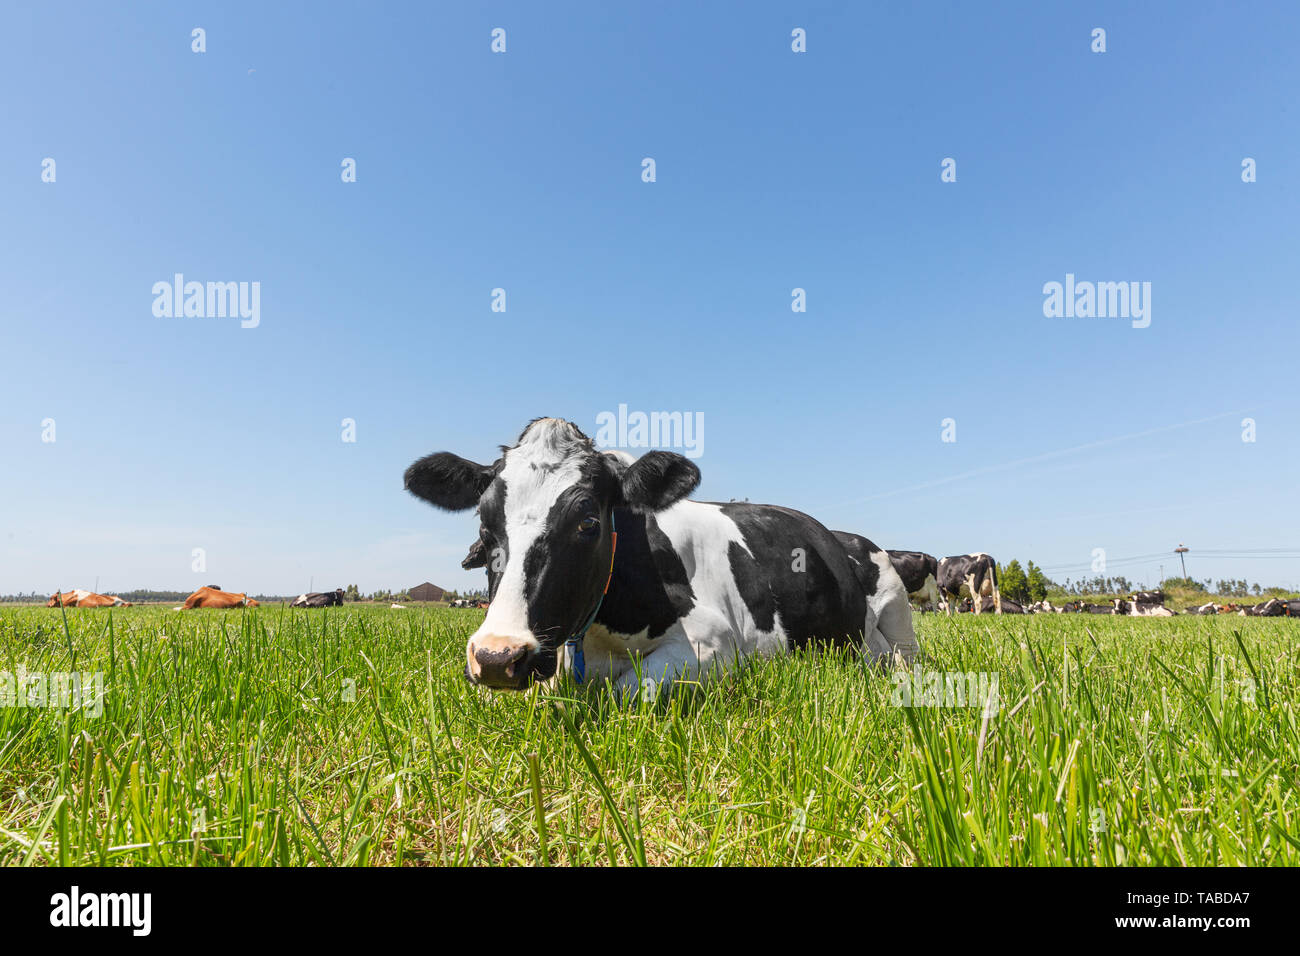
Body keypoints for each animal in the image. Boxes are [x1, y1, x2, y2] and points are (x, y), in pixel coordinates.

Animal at [403, 417, 916, 695]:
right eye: (484, 522)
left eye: (588, 522)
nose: (497, 656)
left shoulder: (716, 642)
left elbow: (629, 689)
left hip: (896, 607)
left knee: (903, 657)